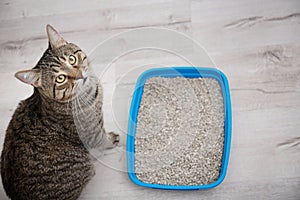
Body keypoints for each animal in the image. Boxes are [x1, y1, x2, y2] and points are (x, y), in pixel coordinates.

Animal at [1, 25, 120, 200]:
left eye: (72, 59)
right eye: (60, 79)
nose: (80, 75)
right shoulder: (92, 132)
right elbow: (103, 140)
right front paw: (112, 139)